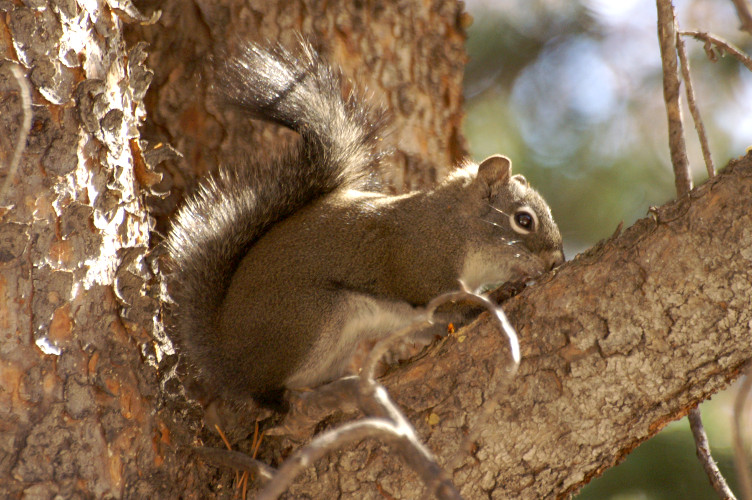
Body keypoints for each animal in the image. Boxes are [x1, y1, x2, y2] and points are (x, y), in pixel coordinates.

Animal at [165, 39, 564, 405]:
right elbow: (448, 301)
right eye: (523, 220)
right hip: (308, 318)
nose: (556, 260)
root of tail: (225, 357)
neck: (455, 226)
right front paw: (497, 295)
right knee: (265, 392)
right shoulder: (423, 263)